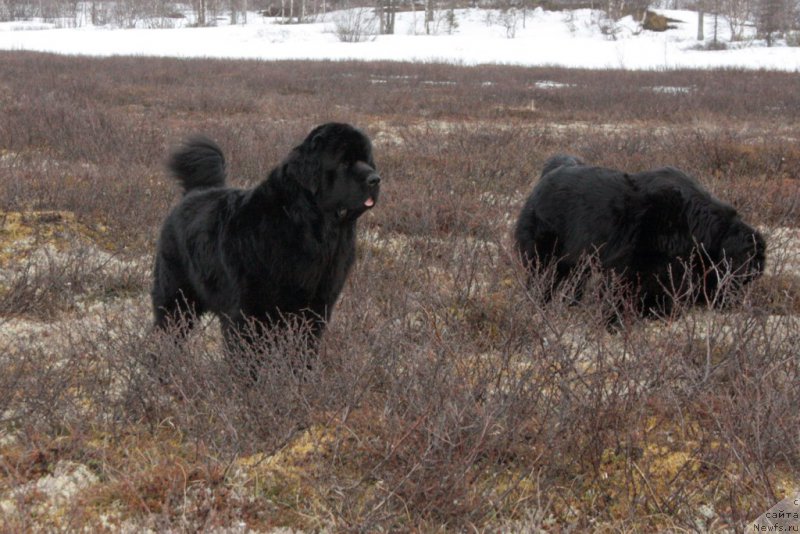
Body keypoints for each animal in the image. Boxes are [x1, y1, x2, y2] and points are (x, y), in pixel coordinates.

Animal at [151, 123, 382, 354]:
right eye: (343, 162)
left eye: (367, 160)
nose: (375, 179)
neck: (309, 229)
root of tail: (194, 192)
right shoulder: (250, 312)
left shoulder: (315, 309)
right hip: (176, 300)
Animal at [516, 157, 764, 320]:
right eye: (741, 275)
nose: (731, 304)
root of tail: (548, 173)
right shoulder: (631, 262)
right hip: (547, 253)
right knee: (543, 278)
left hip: (578, 261)